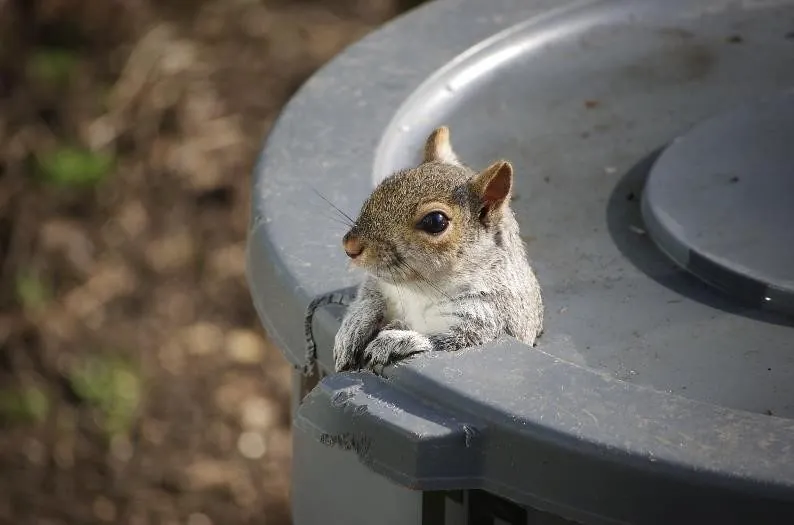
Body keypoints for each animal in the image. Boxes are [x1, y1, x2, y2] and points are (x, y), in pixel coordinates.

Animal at [333, 126, 544, 373]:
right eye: (383, 186)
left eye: (435, 221)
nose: (350, 246)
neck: (418, 291)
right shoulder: (381, 286)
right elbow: (368, 298)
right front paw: (353, 327)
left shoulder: (488, 318)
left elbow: (447, 343)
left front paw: (397, 340)